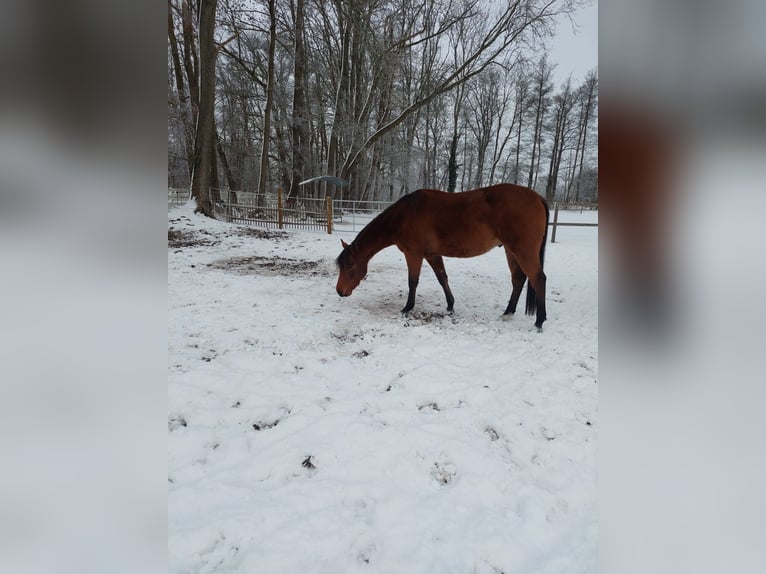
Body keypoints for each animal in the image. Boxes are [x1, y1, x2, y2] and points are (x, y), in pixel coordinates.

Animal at [335, 183, 550, 329]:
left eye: (351, 266)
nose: (340, 291)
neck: (404, 216)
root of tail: (538, 197)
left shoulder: (414, 254)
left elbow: (413, 281)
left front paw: (407, 308)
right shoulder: (432, 255)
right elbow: (442, 278)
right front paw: (450, 306)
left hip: (523, 250)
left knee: (538, 278)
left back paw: (539, 321)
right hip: (510, 250)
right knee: (518, 279)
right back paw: (508, 313)